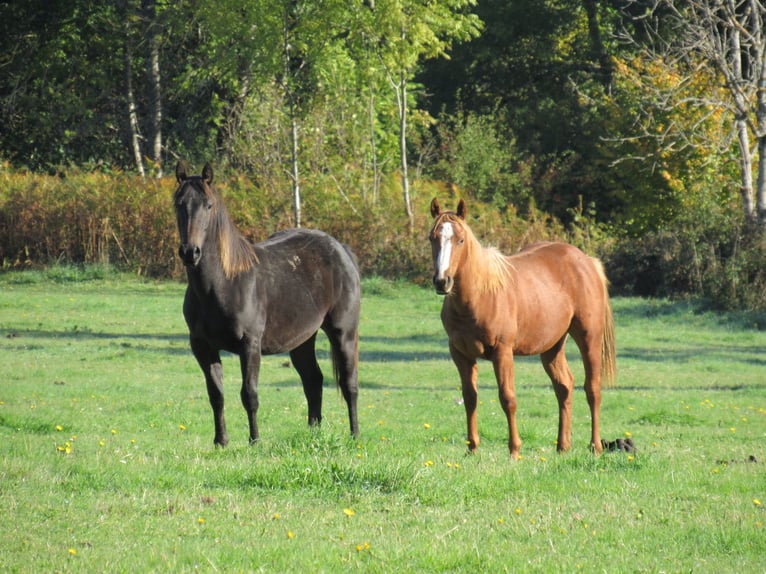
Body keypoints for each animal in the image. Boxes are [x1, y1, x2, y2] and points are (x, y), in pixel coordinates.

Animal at [173, 161, 360, 446]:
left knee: (349, 385)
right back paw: (313, 434)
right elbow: (216, 394)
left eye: (208, 205)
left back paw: (354, 435)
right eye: (178, 204)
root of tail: (341, 249)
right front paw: (221, 441)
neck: (223, 284)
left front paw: (255, 441)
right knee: (313, 381)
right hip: (302, 340)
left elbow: (249, 394)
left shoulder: (250, 344)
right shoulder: (202, 347)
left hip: (343, 333)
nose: (189, 252)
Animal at [429, 198, 616, 459]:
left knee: (592, 389)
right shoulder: (460, 354)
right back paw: (562, 447)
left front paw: (514, 451)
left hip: (589, 338)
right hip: (552, 346)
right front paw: (472, 448)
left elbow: (508, 398)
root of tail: (587, 261)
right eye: (432, 238)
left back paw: (595, 446)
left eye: (460, 240)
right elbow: (470, 398)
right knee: (564, 386)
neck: (481, 295)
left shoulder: (503, 352)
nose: (441, 281)